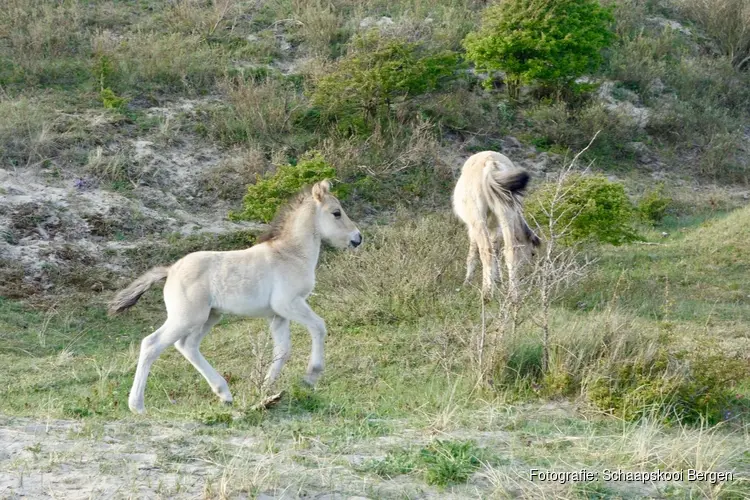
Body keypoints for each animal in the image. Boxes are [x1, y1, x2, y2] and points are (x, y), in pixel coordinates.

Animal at [108, 181, 362, 414]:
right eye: (336, 212)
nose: (357, 238)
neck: (290, 254)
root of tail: (170, 270)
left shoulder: (277, 315)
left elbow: (282, 350)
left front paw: (265, 388)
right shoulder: (289, 303)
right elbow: (319, 326)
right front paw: (311, 376)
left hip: (209, 317)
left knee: (187, 346)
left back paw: (224, 393)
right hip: (186, 318)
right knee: (151, 344)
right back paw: (137, 406)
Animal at [452, 150, 540, 294]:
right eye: (532, 253)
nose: (528, 273)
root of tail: (490, 163)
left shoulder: (473, 227)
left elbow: (474, 253)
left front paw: (467, 282)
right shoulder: (496, 228)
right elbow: (497, 251)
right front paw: (498, 281)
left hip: (478, 218)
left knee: (486, 251)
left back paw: (486, 293)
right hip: (505, 212)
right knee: (510, 250)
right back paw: (513, 295)